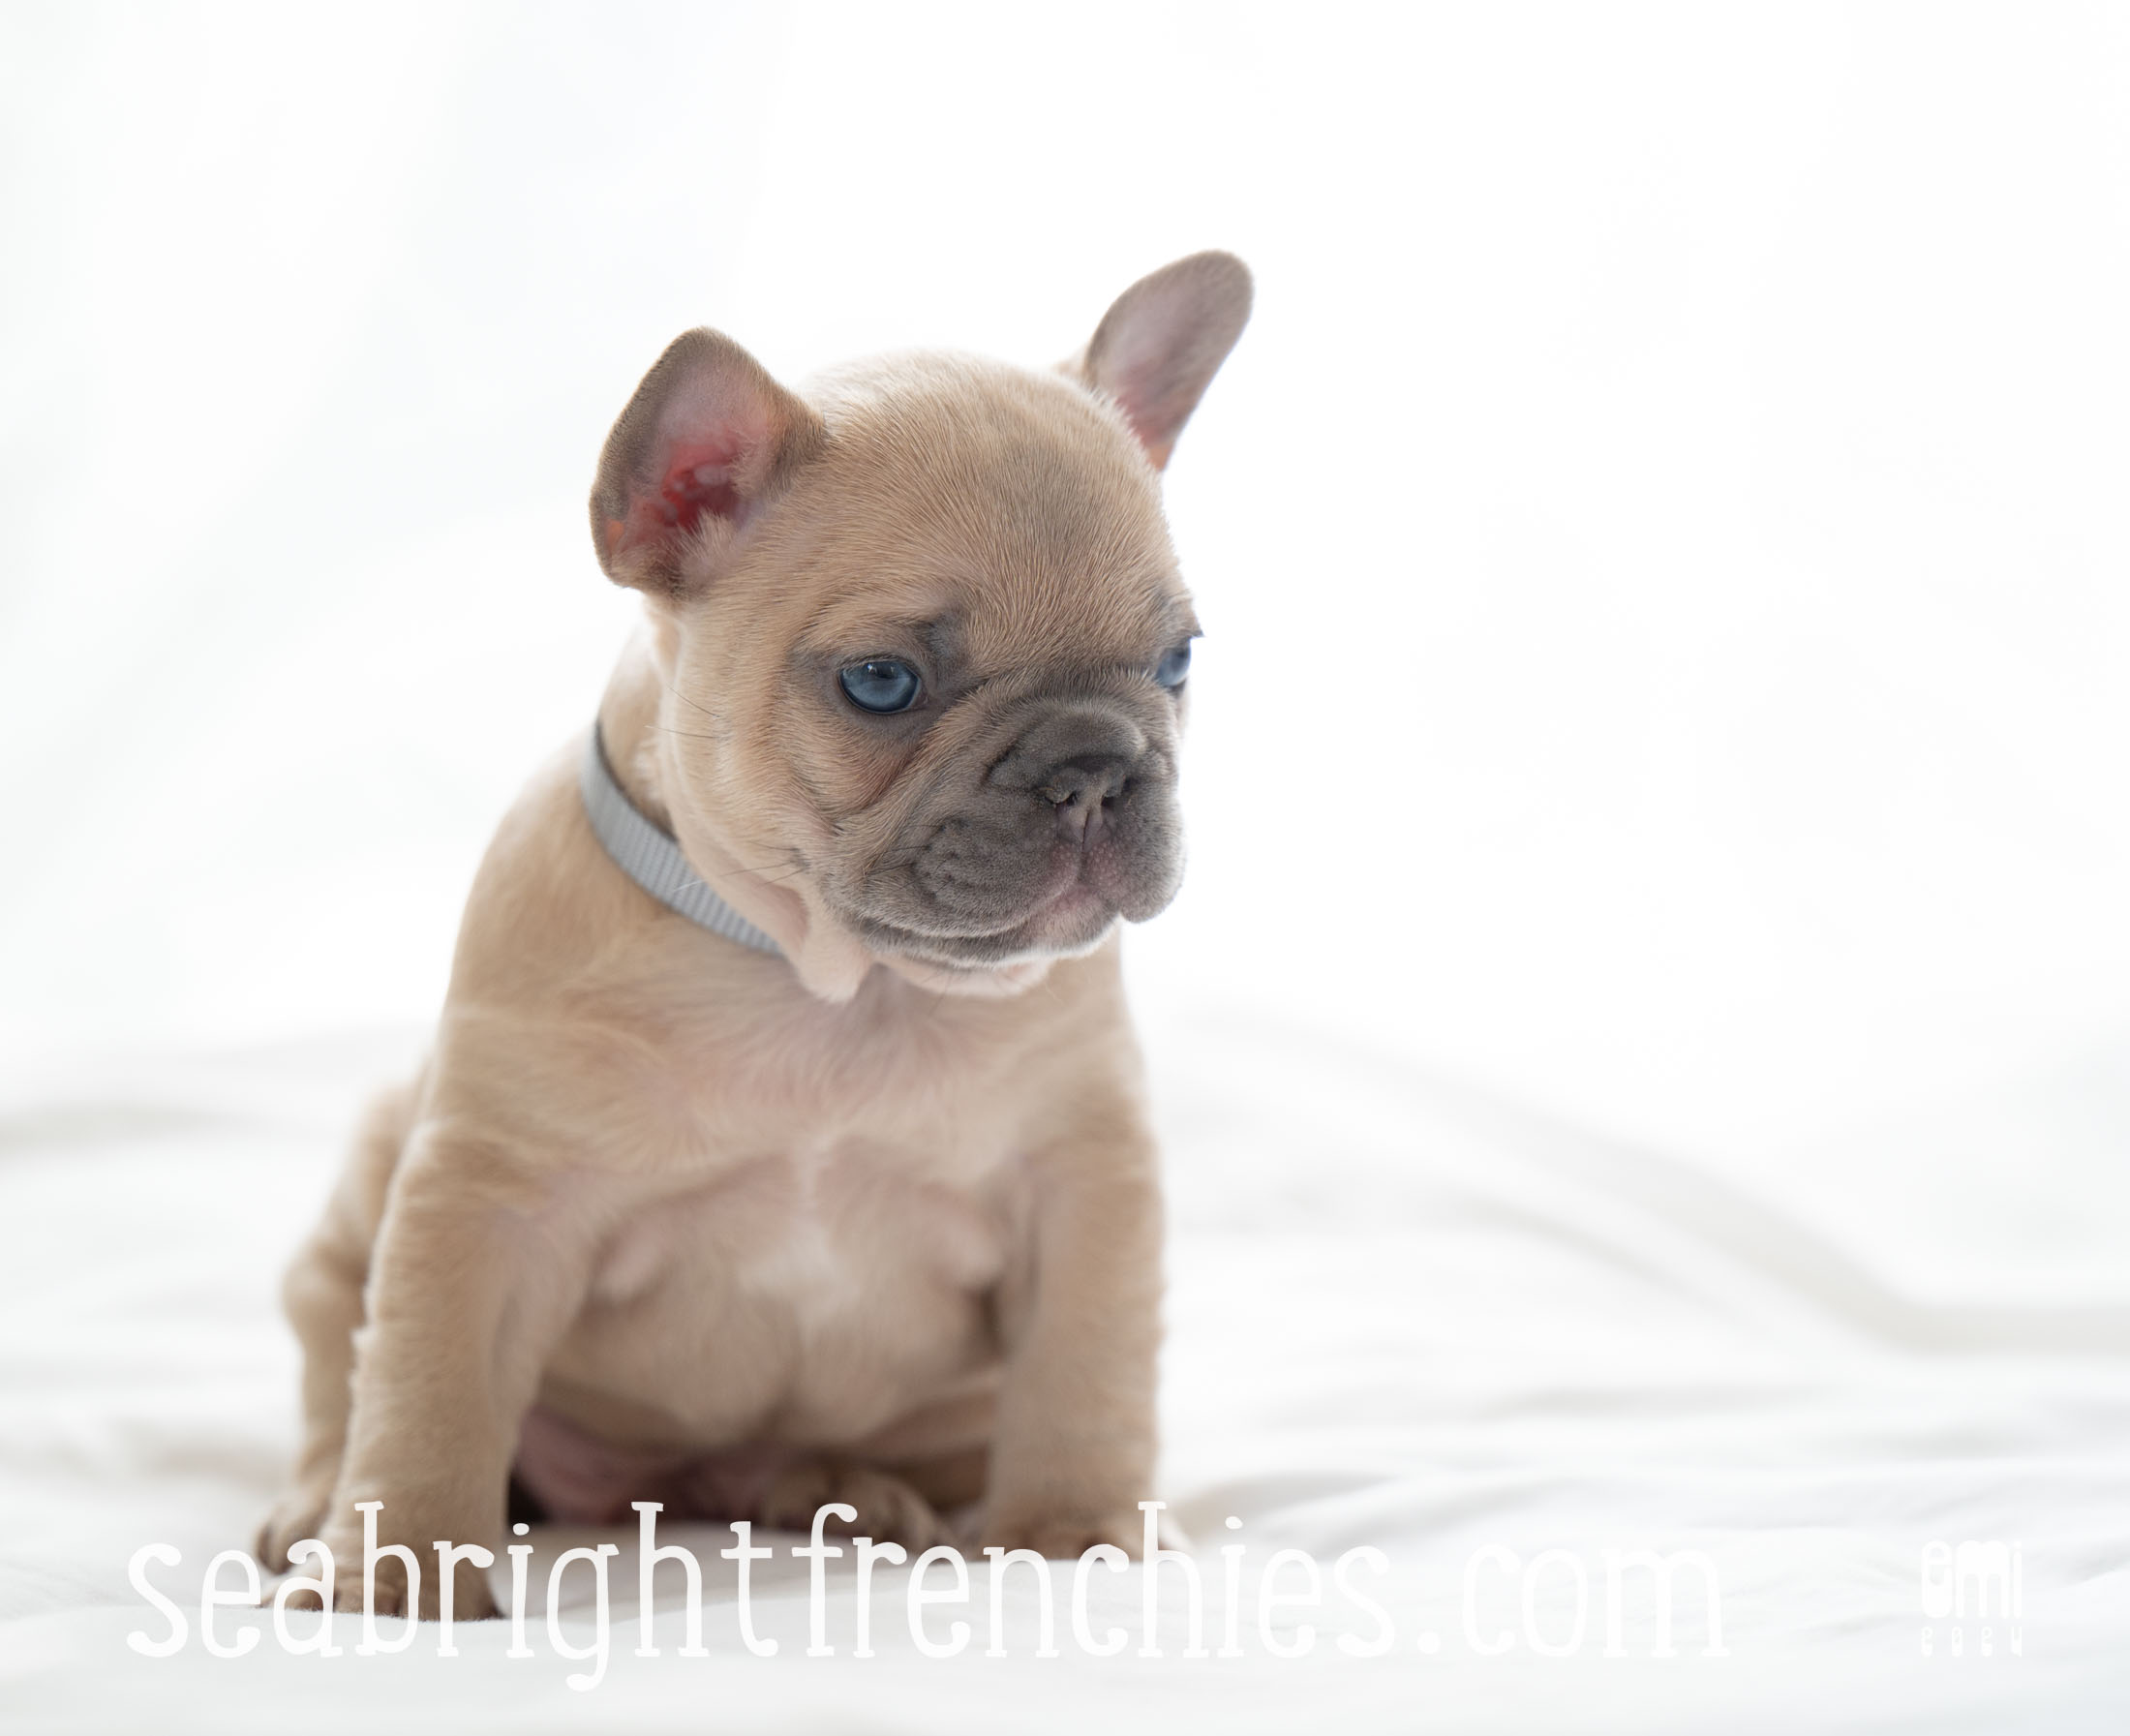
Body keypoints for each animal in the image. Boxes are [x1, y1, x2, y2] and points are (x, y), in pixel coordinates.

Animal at [258, 252, 1251, 1619]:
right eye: (881, 682)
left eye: (1177, 659)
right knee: (331, 1379)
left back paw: (852, 1495)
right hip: (355, 1202)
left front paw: (1074, 1528)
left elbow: (1083, 1367)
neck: (828, 982)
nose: (1095, 765)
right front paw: (396, 1575)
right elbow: (425, 1392)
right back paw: (312, 1511)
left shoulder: (1081, 1186)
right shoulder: (489, 1207)